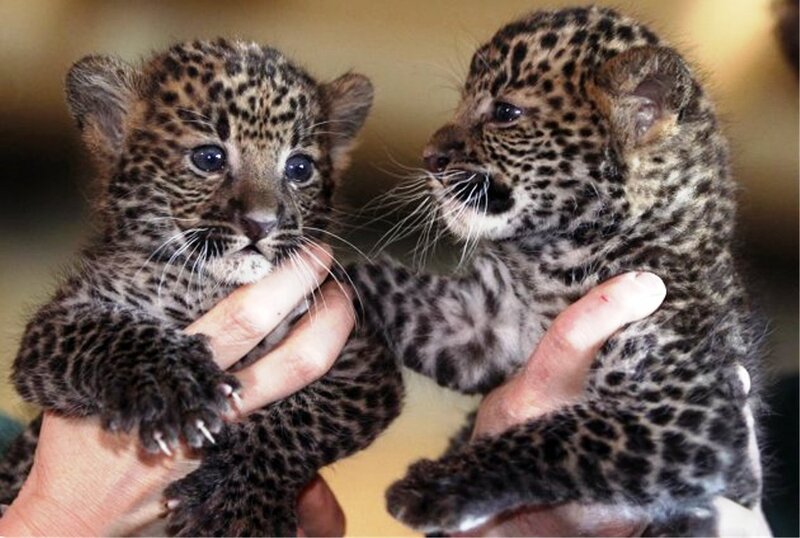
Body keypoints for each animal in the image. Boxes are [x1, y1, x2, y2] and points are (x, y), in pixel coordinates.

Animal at [0, 39, 404, 536]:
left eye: (299, 167)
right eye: (209, 158)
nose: (261, 223)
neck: (214, 288)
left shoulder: (362, 355)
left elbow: (303, 417)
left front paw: (237, 501)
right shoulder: (59, 321)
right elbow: (109, 332)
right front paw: (175, 385)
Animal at [346, 6, 764, 536]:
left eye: (505, 113)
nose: (429, 158)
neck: (561, 258)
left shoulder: (694, 414)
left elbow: (563, 435)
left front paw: (438, 486)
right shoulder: (481, 327)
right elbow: (389, 288)